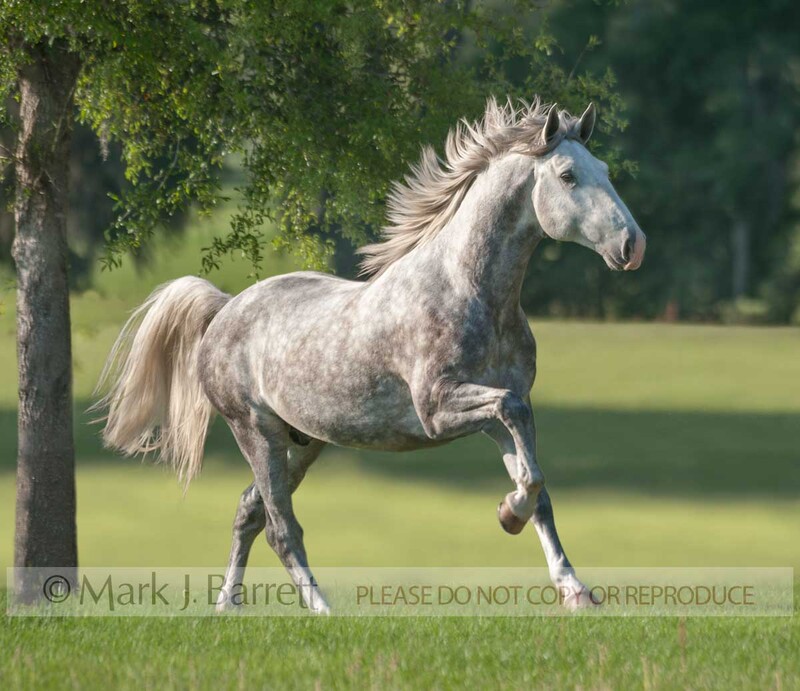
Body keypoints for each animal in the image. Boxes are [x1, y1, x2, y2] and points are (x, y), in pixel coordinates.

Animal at [95, 98, 646, 613]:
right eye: (568, 175)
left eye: (605, 170)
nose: (632, 245)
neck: (471, 293)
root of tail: (225, 308)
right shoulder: (439, 410)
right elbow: (518, 441)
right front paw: (508, 514)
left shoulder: (499, 412)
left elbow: (538, 484)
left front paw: (573, 589)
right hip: (255, 432)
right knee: (280, 528)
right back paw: (322, 609)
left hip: (304, 441)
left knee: (250, 512)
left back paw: (227, 605)